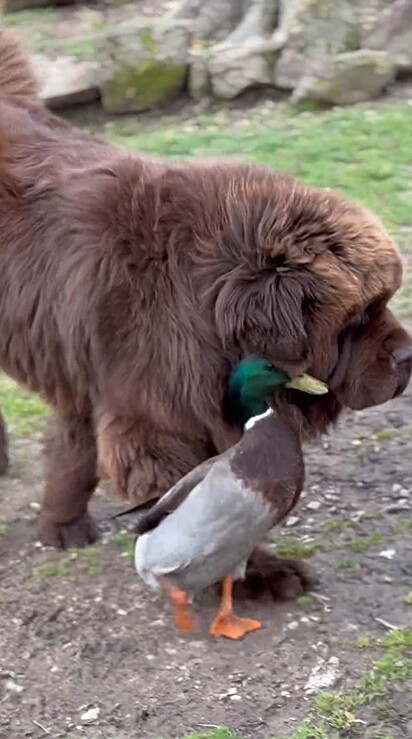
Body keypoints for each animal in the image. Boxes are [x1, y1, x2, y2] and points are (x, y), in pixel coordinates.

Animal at [0, 31, 410, 600]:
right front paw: (261, 572)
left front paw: (62, 525)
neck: (203, 301)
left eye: (385, 301)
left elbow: (74, 450)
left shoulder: (99, 380)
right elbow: (206, 505)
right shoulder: (155, 416)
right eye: (358, 316)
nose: (409, 356)